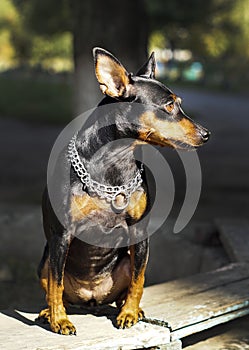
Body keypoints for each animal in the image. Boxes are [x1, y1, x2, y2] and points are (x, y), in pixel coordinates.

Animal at [37, 47, 210, 334]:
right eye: (169, 105)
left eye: (179, 103)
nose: (206, 134)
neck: (115, 163)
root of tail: (92, 300)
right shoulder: (61, 235)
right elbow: (56, 284)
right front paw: (59, 320)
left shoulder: (139, 233)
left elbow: (138, 282)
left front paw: (129, 313)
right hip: (45, 260)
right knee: (55, 287)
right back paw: (49, 312)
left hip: (128, 259)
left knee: (128, 286)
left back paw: (131, 309)